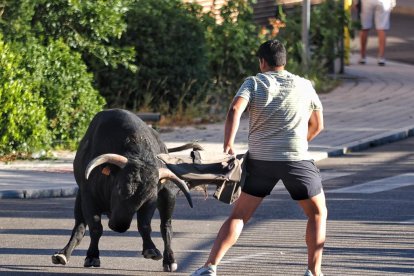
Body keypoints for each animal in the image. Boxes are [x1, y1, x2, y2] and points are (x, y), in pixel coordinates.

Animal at [51, 108, 201, 272]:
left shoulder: (152, 202)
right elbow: (95, 227)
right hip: (80, 198)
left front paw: (151, 250)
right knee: (79, 226)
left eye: (146, 198)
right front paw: (92, 257)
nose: (119, 226)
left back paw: (169, 260)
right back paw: (63, 254)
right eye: (118, 188)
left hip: (168, 196)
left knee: (166, 226)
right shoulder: (88, 197)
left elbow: (145, 225)